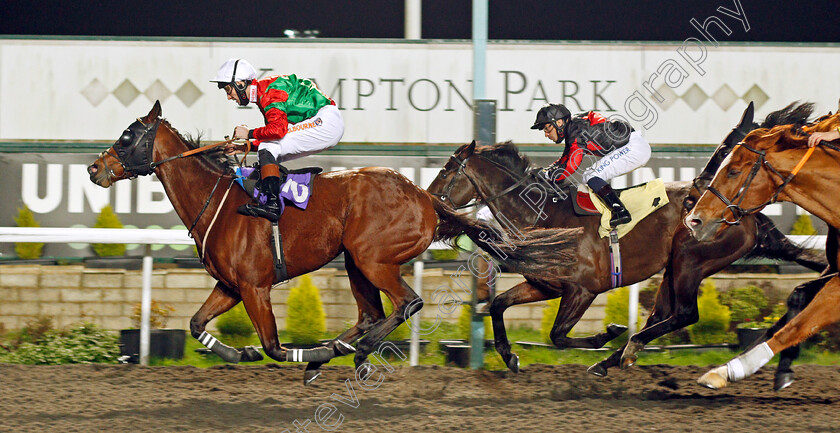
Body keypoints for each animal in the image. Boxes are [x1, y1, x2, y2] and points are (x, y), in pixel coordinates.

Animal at [88, 101, 580, 382]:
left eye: (128, 137)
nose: (95, 169)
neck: (220, 200)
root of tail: (423, 194)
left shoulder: (254, 287)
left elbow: (273, 346)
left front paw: (297, 351)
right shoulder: (230, 286)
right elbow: (195, 325)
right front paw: (240, 351)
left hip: (372, 258)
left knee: (406, 303)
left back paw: (346, 352)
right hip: (354, 262)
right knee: (370, 314)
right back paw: (340, 352)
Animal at [430, 101, 824, 378]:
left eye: (447, 170)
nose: (430, 199)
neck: (544, 216)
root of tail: (730, 204)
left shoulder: (583, 290)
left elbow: (557, 335)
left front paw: (609, 331)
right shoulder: (545, 285)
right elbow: (498, 305)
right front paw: (509, 356)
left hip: (691, 262)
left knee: (684, 314)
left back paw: (621, 350)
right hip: (673, 267)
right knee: (662, 316)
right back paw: (613, 359)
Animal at [684, 111, 840, 388]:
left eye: (732, 170)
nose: (693, 217)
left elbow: (795, 327)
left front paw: (727, 371)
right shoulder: (834, 271)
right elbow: (794, 306)